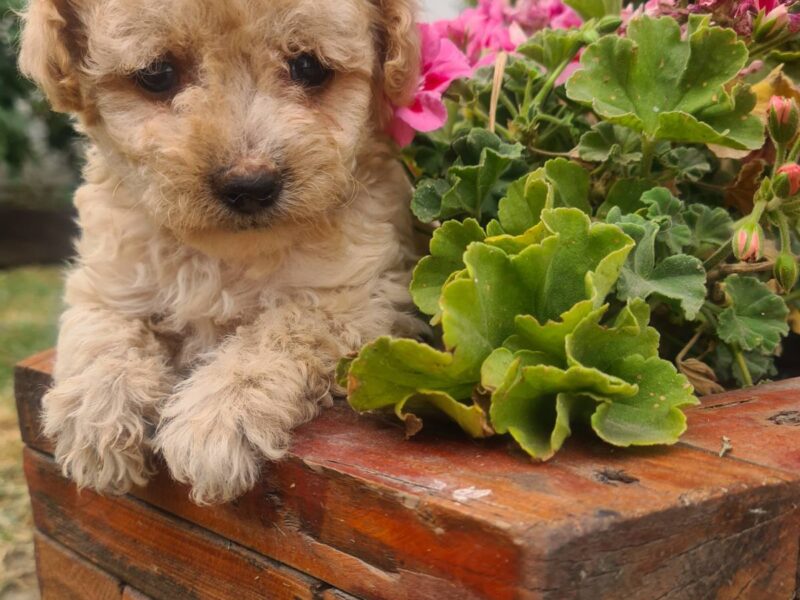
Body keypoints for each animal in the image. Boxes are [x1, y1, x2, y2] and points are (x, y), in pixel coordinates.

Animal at [18, 0, 422, 506]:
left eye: (309, 67)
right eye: (157, 74)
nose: (250, 185)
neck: (223, 255)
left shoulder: (363, 294)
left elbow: (280, 332)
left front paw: (216, 419)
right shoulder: (109, 275)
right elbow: (100, 331)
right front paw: (98, 414)